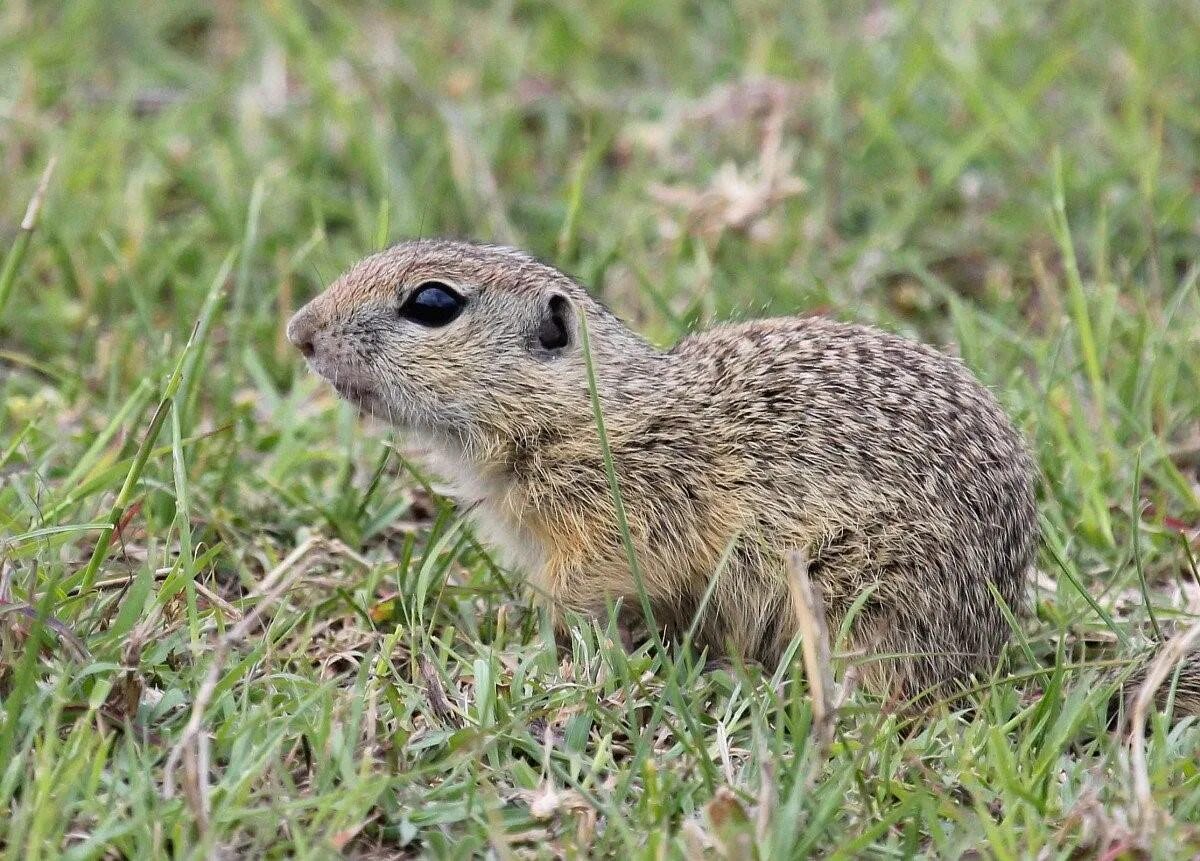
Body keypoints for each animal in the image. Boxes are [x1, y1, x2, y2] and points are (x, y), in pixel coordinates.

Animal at [290, 239, 1200, 709]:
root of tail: (994, 650)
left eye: (433, 303)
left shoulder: (623, 521)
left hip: (862, 593)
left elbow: (584, 593)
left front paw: (534, 658)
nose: (298, 330)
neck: (584, 409)